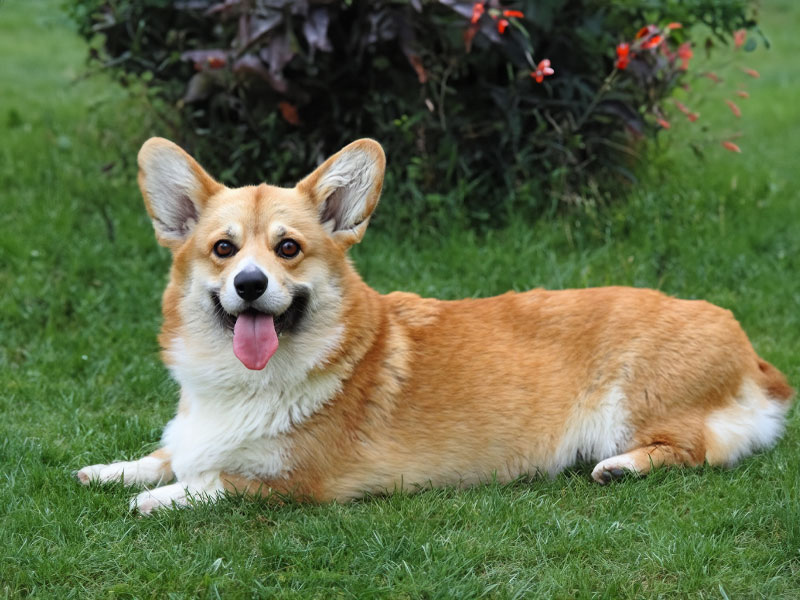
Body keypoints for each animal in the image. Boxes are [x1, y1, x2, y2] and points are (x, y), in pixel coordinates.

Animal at [78, 137, 792, 516]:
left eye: (288, 248)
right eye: (223, 250)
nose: (249, 286)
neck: (245, 384)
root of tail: (750, 351)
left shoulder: (298, 483)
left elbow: (212, 481)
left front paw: (158, 499)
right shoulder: (191, 435)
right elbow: (164, 455)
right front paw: (110, 471)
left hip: (635, 405)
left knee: (697, 449)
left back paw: (620, 467)